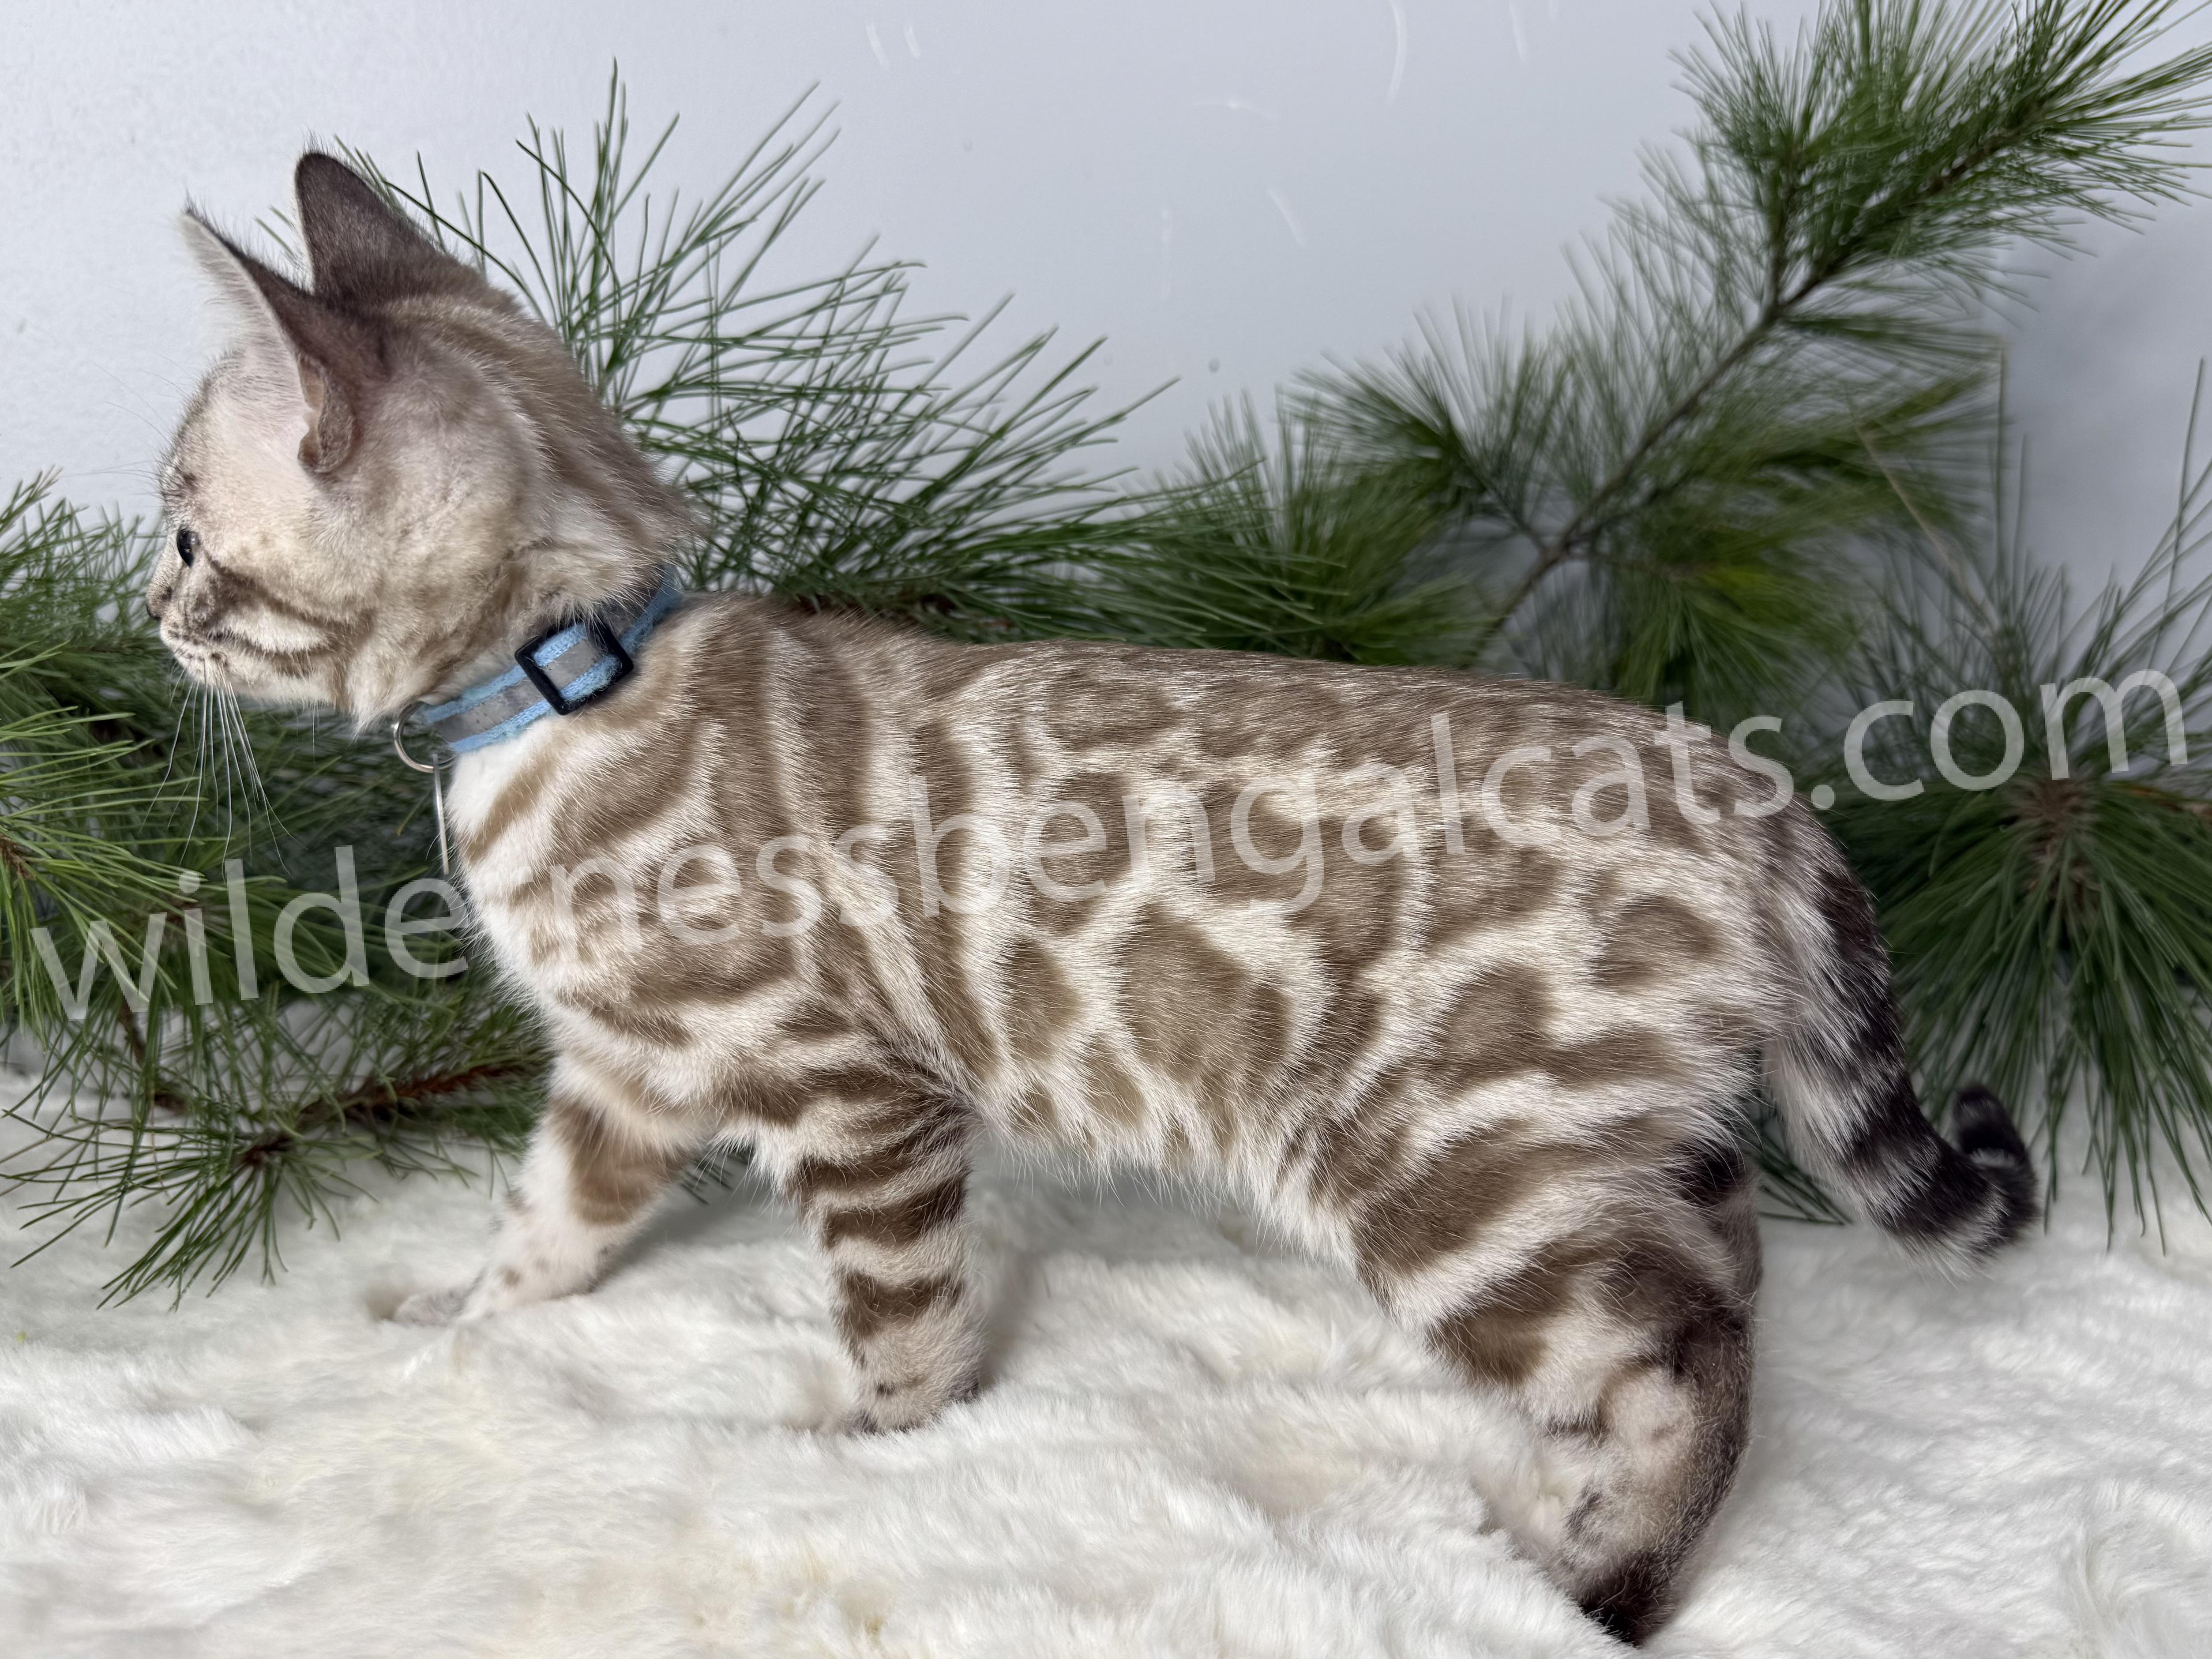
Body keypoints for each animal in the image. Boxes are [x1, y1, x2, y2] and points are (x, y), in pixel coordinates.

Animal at [149, 154, 2037, 1645]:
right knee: (1732, 1267)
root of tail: (1748, 784)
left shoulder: (856, 1097)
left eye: (181, 533)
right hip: (1600, 1139)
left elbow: (900, 1324)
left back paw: (1601, 1580)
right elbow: (541, 1230)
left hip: (1442, 1170)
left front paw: (872, 1454)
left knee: (1679, 1350)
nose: (143, 607)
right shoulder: (623, 1076)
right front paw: (451, 1327)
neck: (569, 677)